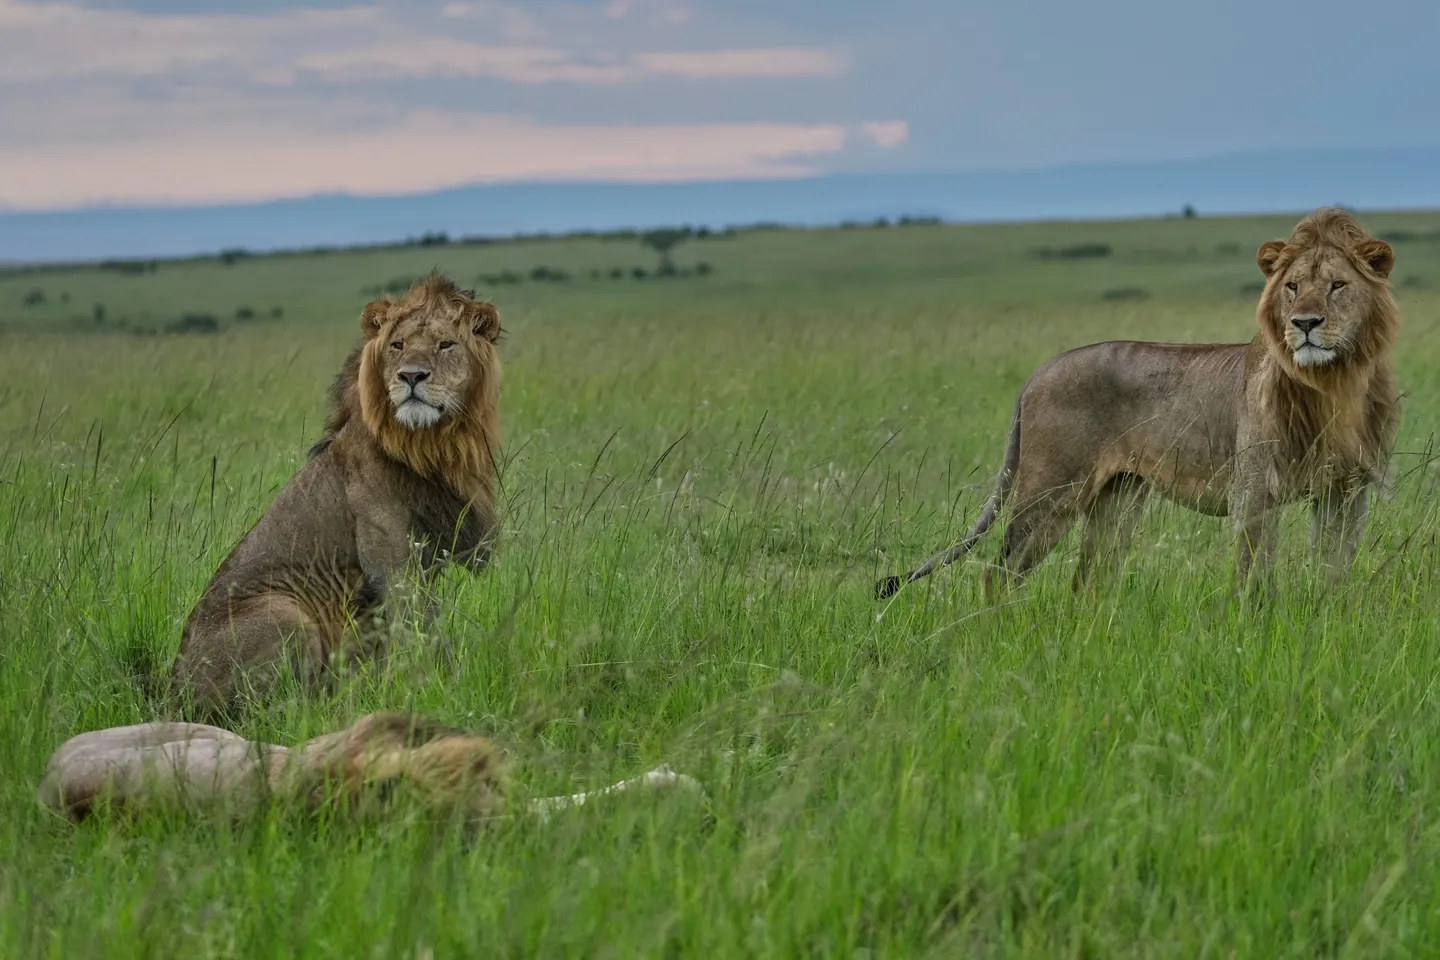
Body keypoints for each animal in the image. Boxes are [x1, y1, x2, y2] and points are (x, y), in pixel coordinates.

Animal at [170, 274, 503, 719]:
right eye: (398, 345)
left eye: (446, 344)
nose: (411, 377)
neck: (433, 446)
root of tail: (173, 694)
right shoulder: (391, 568)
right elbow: (425, 630)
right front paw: (440, 686)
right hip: (284, 613)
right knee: (285, 709)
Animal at [877, 208, 1400, 601]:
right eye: (1292, 287)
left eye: (1337, 286)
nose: (1304, 323)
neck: (1331, 384)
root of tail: (1037, 373)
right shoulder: (1254, 490)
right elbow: (1253, 577)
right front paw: (1255, 631)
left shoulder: (1346, 491)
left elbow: (1333, 572)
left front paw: (1327, 619)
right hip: (1052, 490)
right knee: (1000, 572)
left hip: (1117, 499)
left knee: (1087, 582)